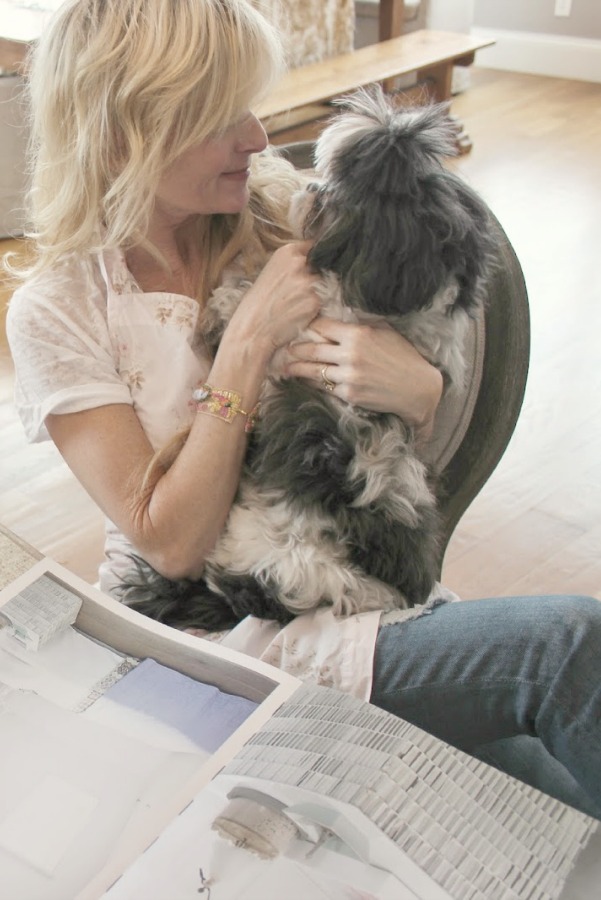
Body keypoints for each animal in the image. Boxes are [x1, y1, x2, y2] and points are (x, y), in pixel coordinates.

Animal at [118, 88, 496, 628]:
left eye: (343, 195)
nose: (313, 188)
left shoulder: (295, 346)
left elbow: (244, 307)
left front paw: (225, 306)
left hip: (279, 558)